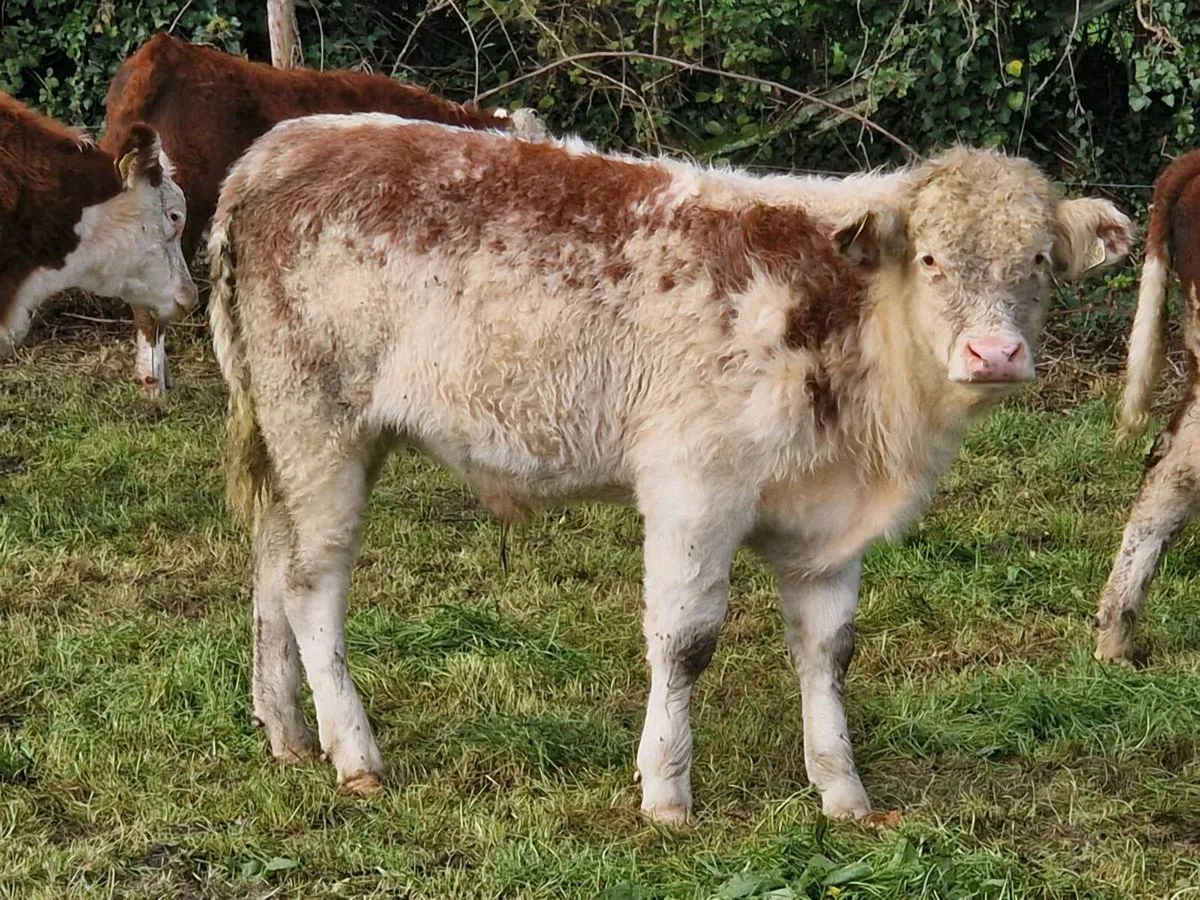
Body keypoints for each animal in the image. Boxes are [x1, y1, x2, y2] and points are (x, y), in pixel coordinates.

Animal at [208, 114, 1132, 822]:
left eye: (1038, 261)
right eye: (932, 258)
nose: (994, 354)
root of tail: (279, 145)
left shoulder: (826, 522)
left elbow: (828, 651)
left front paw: (844, 794)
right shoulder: (695, 485)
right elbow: (685, 643)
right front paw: (666, 792)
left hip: (294, 441)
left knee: (269, 566)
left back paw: (287, 735)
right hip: (320, 428)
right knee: (311, 586)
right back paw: (353, 752)